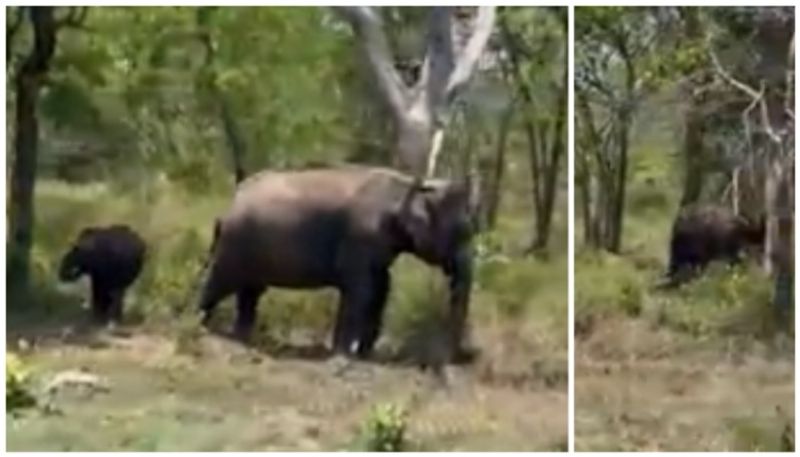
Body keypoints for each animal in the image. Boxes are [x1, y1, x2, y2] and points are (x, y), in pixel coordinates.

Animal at [198, 166, 476, 362]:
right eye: (462, 232)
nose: (459, 357)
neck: (408, 186)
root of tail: (231, 203)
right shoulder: (359, 240)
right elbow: (361, 291)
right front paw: (343, 355)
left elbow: (382, 286)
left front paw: (364, 354)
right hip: (234, 246)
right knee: (217, 283)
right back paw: (200, 325)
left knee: (250, 292)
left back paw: (241, 340)